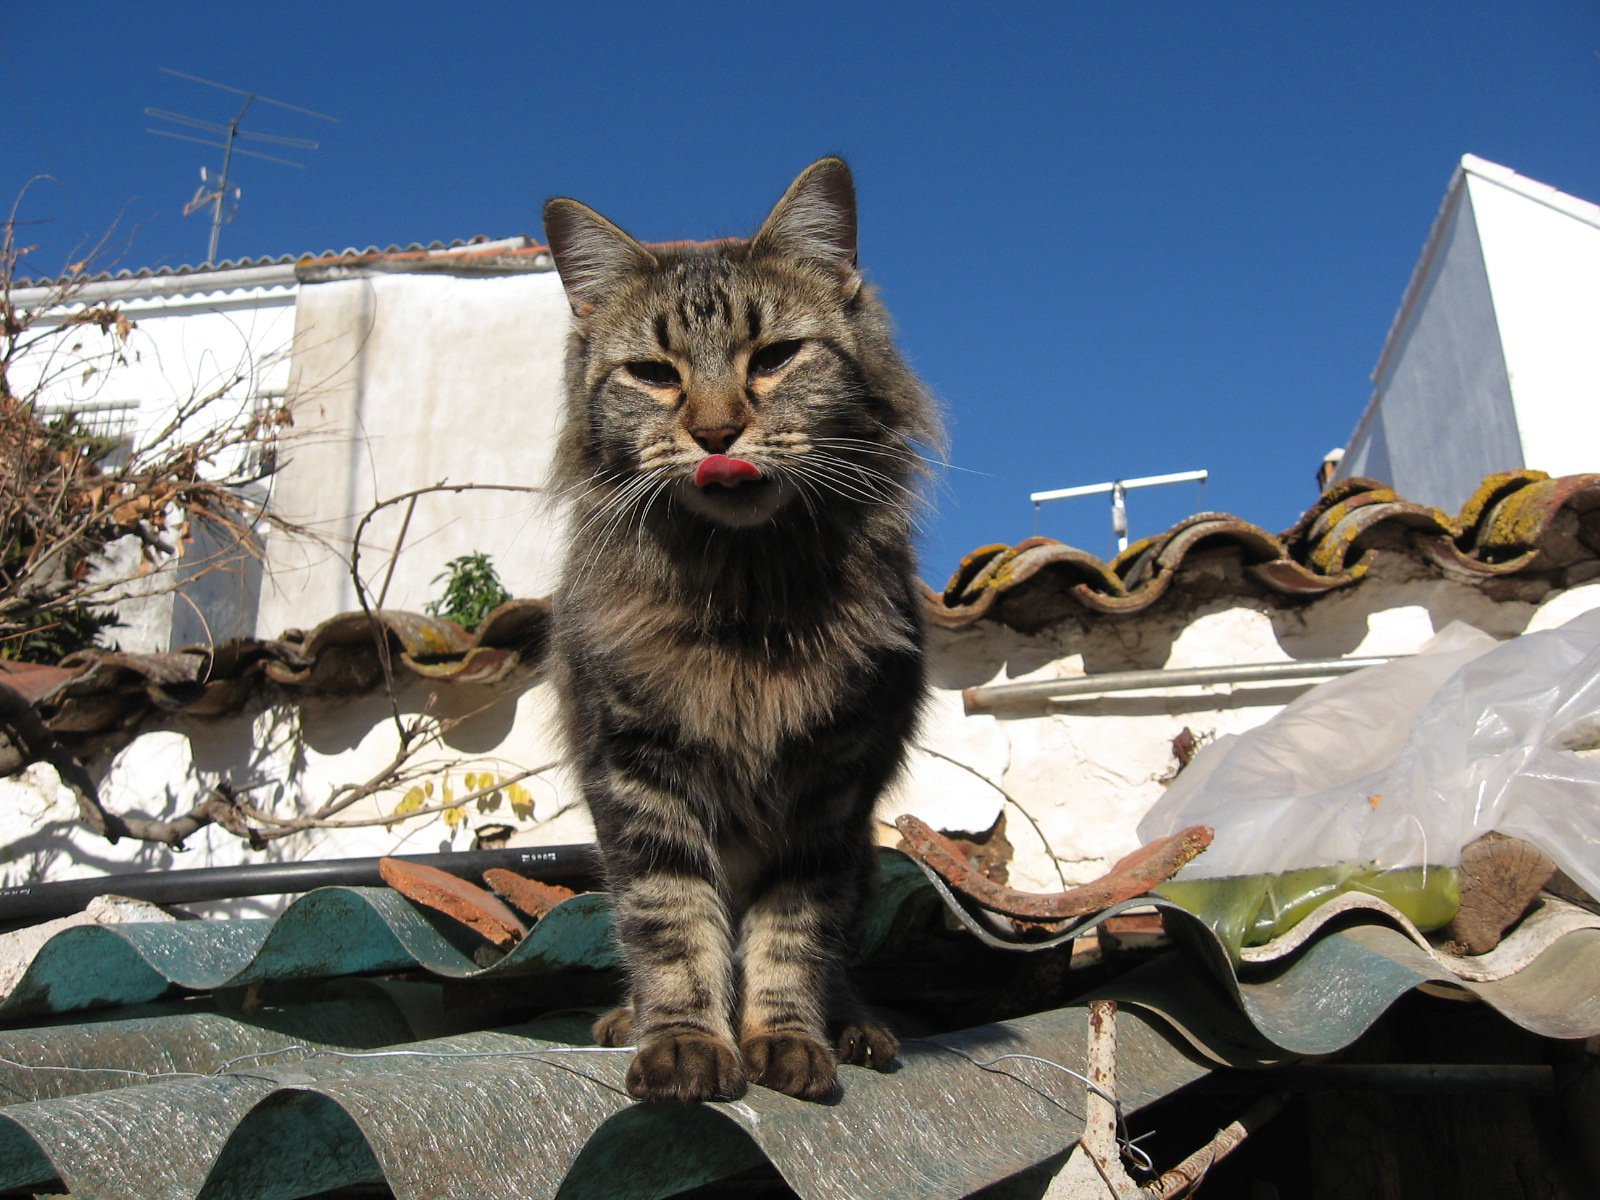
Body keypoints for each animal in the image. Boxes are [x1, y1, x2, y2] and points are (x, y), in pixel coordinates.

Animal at [544, 160, 934, 1107]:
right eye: (654, 373)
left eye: (775, 359)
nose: (716, 432)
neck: (746, 598)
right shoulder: (638, 779)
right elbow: (672, 931)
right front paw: (684, 1046)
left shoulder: (828, 800)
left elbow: (789, 941)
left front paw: (787, 1043)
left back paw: (857, 1028)